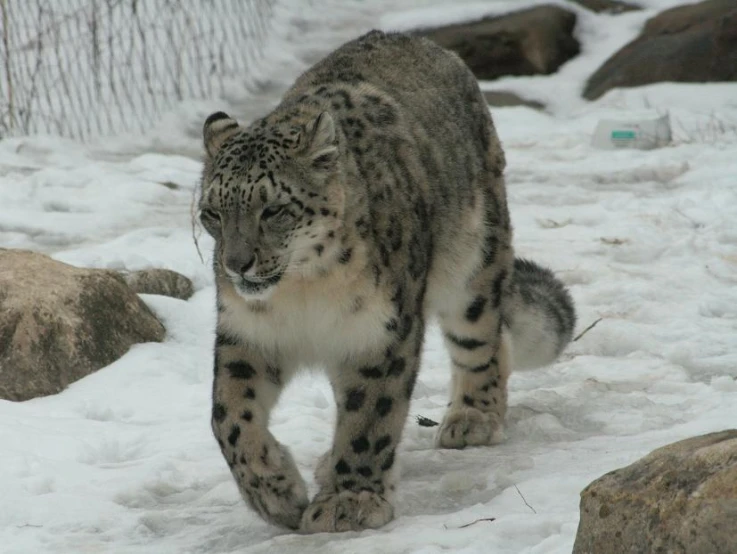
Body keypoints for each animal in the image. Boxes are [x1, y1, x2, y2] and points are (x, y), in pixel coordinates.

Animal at [200, 29, 576, 532]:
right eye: (212, 212)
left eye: (274, 209)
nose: (236, 264)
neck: (303, 290)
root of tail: (419, 39)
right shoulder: (248, 333)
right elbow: (229, 416)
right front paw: (276, 493)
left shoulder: (380, 331)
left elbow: (370, 416)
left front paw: (349, 501)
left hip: (473, 263)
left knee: (483, 340)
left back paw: (473, 417)